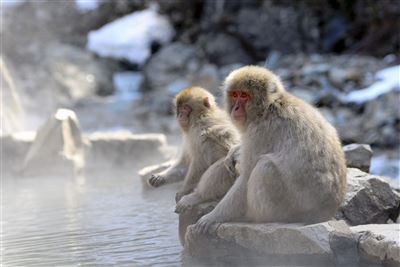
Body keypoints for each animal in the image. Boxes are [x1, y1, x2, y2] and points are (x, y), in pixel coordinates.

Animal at [194, 65, 346, 234]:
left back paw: (253, 217)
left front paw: (213, 216)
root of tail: (327, 212)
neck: (268, 108)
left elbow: (245, 177)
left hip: (293, 209)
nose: (236, 108)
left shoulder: (261, 131)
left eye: (244, 95)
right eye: (235, 94)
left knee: (265, 167)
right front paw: (234, 150)